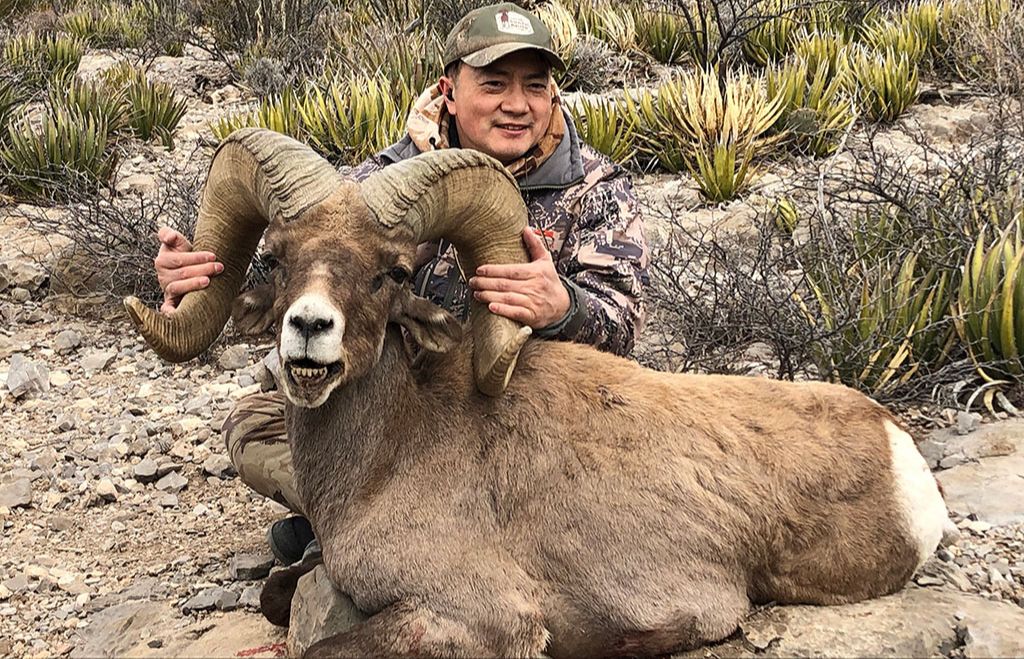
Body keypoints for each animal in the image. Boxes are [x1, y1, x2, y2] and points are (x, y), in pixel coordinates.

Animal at [125, 128, 952, 658]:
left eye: (392, 271)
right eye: (276, 256)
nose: (308, 330)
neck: (389, 455)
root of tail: (899, 448)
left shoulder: (476, 617)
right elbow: (277, 590)